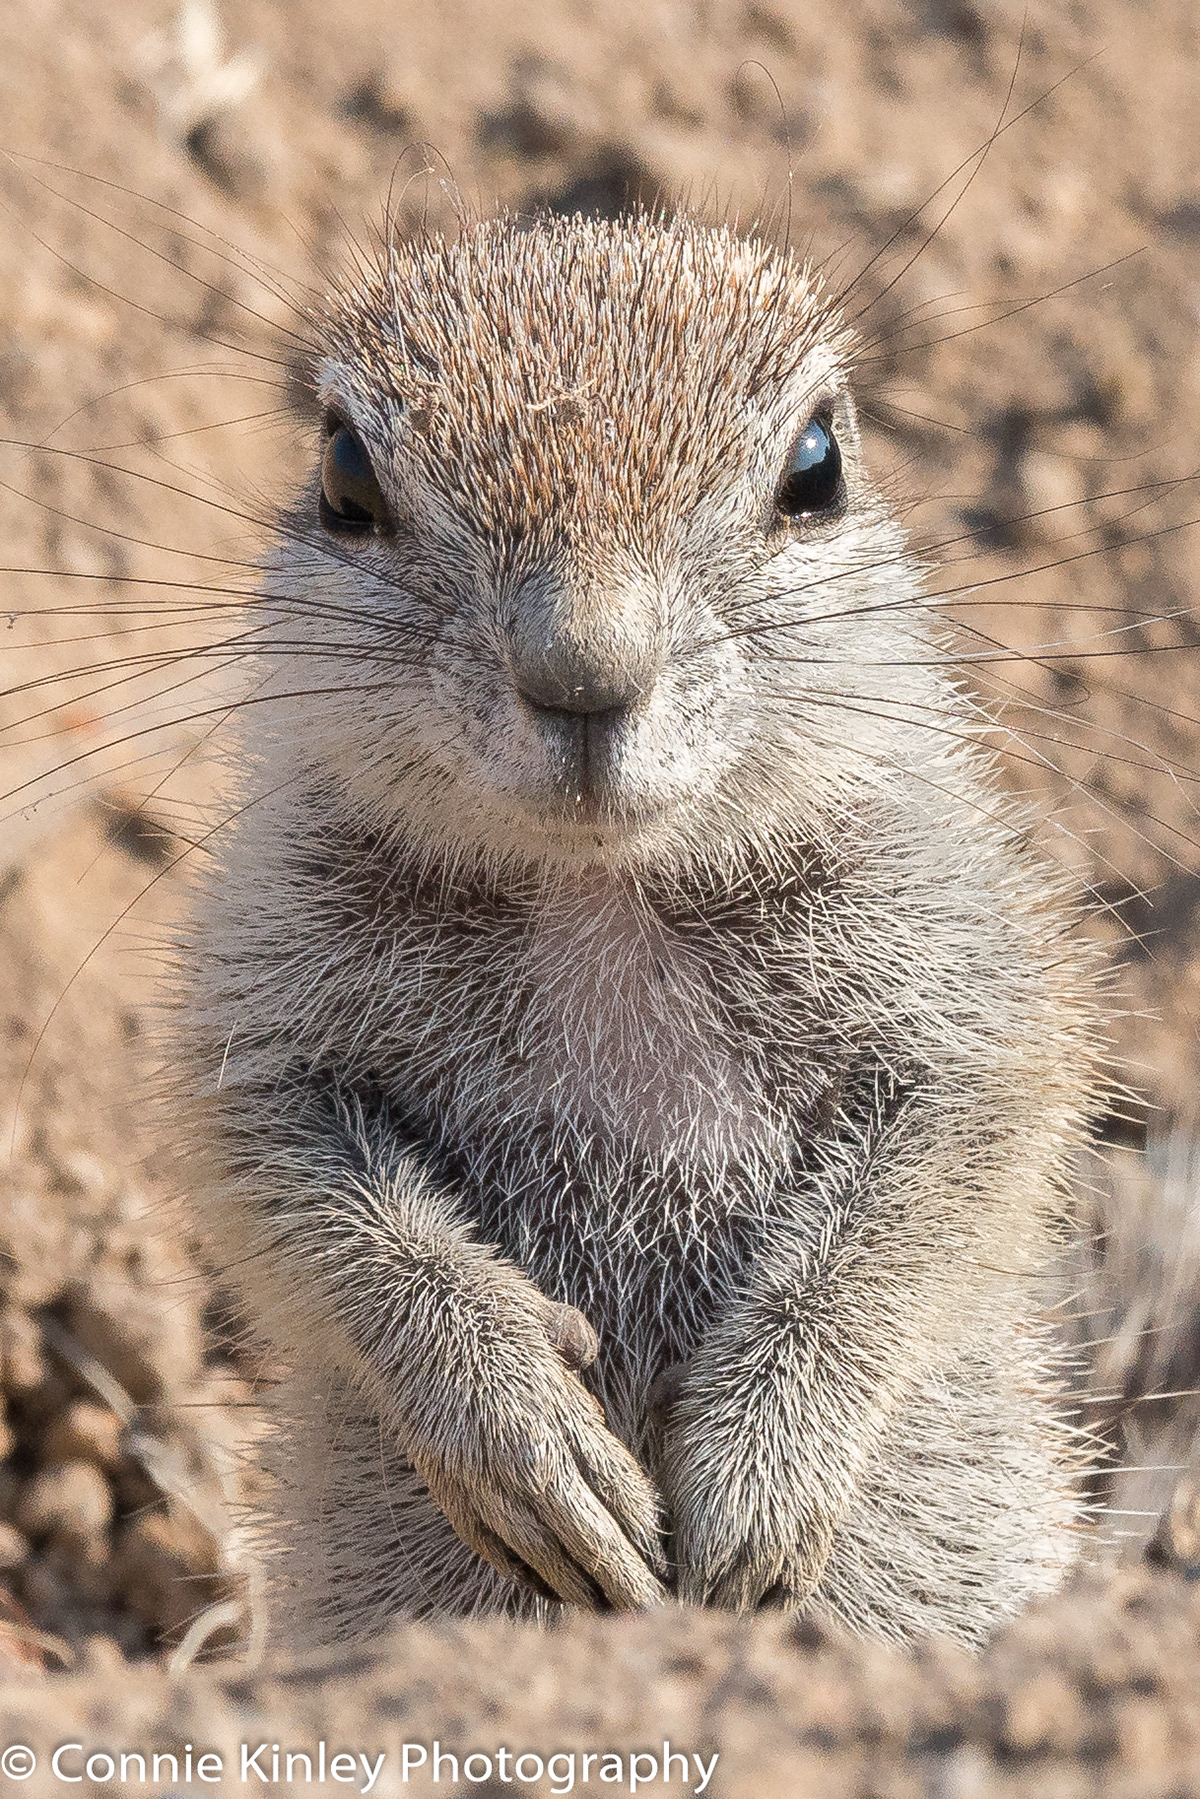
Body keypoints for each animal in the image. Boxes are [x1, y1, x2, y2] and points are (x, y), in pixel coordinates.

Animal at [175, 209, 1102, 1647]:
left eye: (817, 467)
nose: (584, 670)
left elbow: (934, 1191)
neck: (600, 894)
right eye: (342, 472)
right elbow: (310, 1203)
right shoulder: (263, 1013)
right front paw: (525, 1434)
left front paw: (762, 1475)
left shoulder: (969, 988)